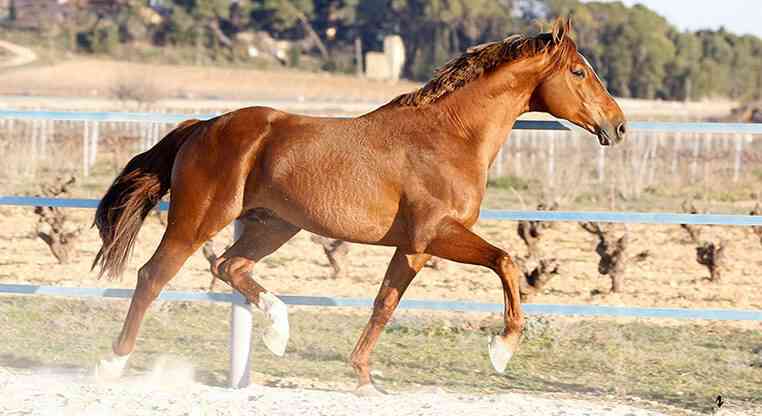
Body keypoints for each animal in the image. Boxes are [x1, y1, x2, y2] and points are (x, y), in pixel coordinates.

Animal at [92, 17, 626, 394]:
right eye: (579, 71)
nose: (618, 126)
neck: (449, 137)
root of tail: (203, 126)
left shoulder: (413, 248)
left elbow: (384, 305)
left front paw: (366, 380)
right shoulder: (436, 234)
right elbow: (507, 261)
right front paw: (501, 350)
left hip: (274, 225)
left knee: (229, 266)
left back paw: (278, 332)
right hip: (198, 220)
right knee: (153, 276)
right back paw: (112, 364)